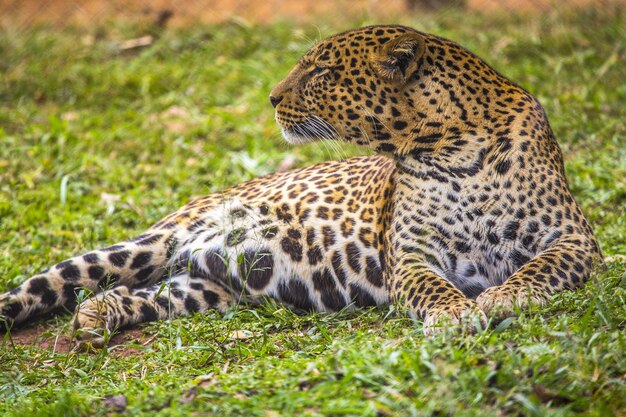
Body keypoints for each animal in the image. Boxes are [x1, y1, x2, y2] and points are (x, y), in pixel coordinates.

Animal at [0, 24, 600, 346]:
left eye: (321, 72)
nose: (270, 96)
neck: (453, 148)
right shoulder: (412, 256)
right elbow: (433, 288)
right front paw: (455, 314)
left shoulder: (573, 238)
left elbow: (539, 270)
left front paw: (499, 298)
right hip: (142, 246)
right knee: (51, 285)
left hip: (207, 290)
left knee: (148, 294)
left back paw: (101, 312)